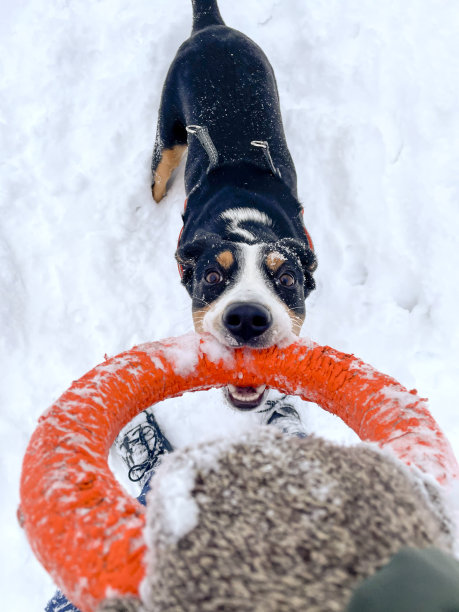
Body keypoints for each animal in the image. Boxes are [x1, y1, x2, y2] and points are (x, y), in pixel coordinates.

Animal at [153, 0, 318, 412]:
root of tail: (211, 27)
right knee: (159, 175)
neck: (244, 222)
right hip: (168, 132)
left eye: (287, 279)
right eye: (212, 276)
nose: (246, 317)